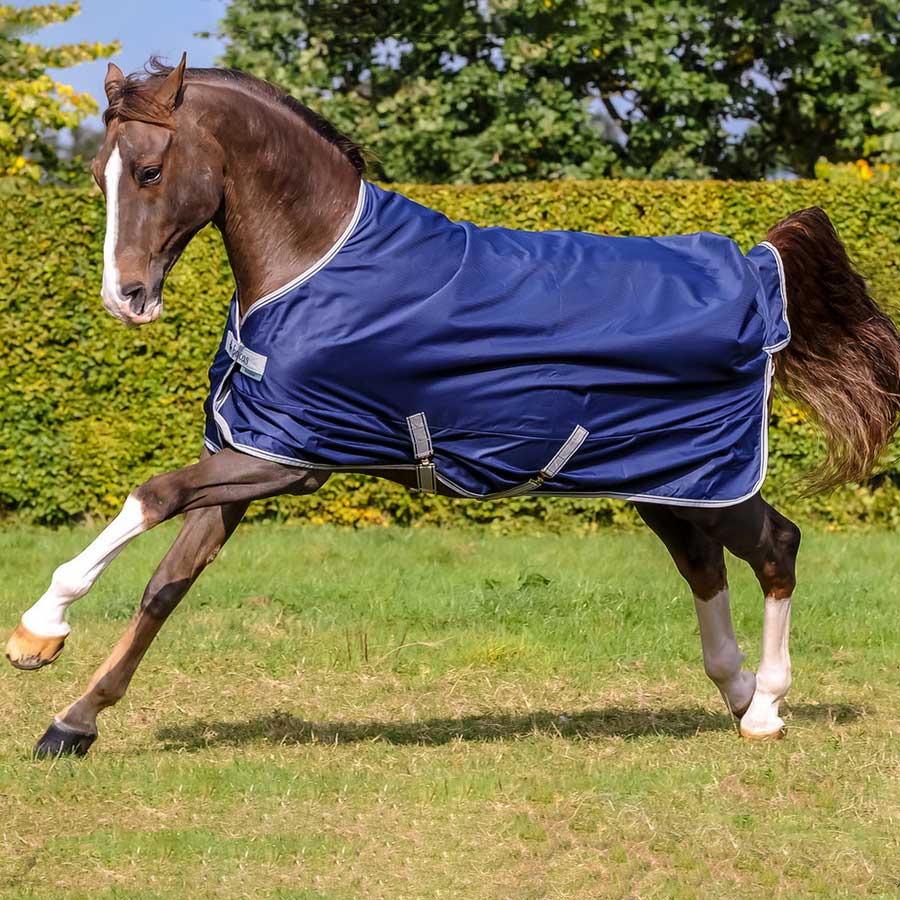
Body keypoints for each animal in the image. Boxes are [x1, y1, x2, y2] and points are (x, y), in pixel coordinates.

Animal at [7, 55, 900, 758]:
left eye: (149, 172)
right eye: (98, 175)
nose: (125, 298)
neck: (315, 258)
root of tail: (754, 270)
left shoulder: (286, 463)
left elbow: (151, 495)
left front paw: (38, 630)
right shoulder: (256, 451)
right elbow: (168, 585)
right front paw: (71, 723)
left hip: (710, 477)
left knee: (776, 547)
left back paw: (767, 707)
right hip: (669, 478)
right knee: (704, 564)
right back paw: (737, 690)